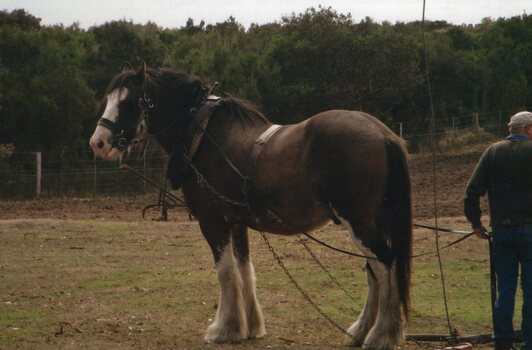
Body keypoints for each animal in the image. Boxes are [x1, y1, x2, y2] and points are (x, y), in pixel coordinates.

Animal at [89, 63, 412, 350]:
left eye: (129, 102)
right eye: (109, 100)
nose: (98, 143)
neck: (203, 135)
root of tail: (383, 134)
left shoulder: (213, 221)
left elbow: (226, 271)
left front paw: (223, 328)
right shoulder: (237, 222)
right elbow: (244, 268)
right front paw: (249, 326)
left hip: (359, 222)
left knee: (385, 264)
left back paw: (382, 334)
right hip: (373, 222)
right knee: (375, 270)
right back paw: (360, 332)